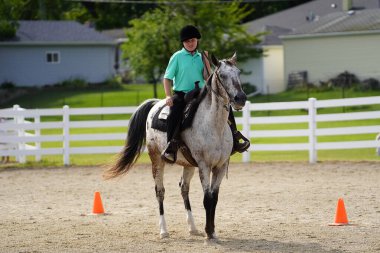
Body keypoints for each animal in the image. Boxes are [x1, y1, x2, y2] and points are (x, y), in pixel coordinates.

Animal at [104, 52, 246, 241]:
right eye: (222, 75)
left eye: (238, 72)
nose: (240, 98)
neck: (214, 126)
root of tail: (156, 104)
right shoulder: (204, 165)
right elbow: (207, 199)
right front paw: (209, 232)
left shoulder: (221, 166)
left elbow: (214, 198)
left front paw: (212, 231)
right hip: (157, 160)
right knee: (160, 191)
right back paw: (164, 231)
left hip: (188, 165)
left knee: (184, 188)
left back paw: (192, 228)